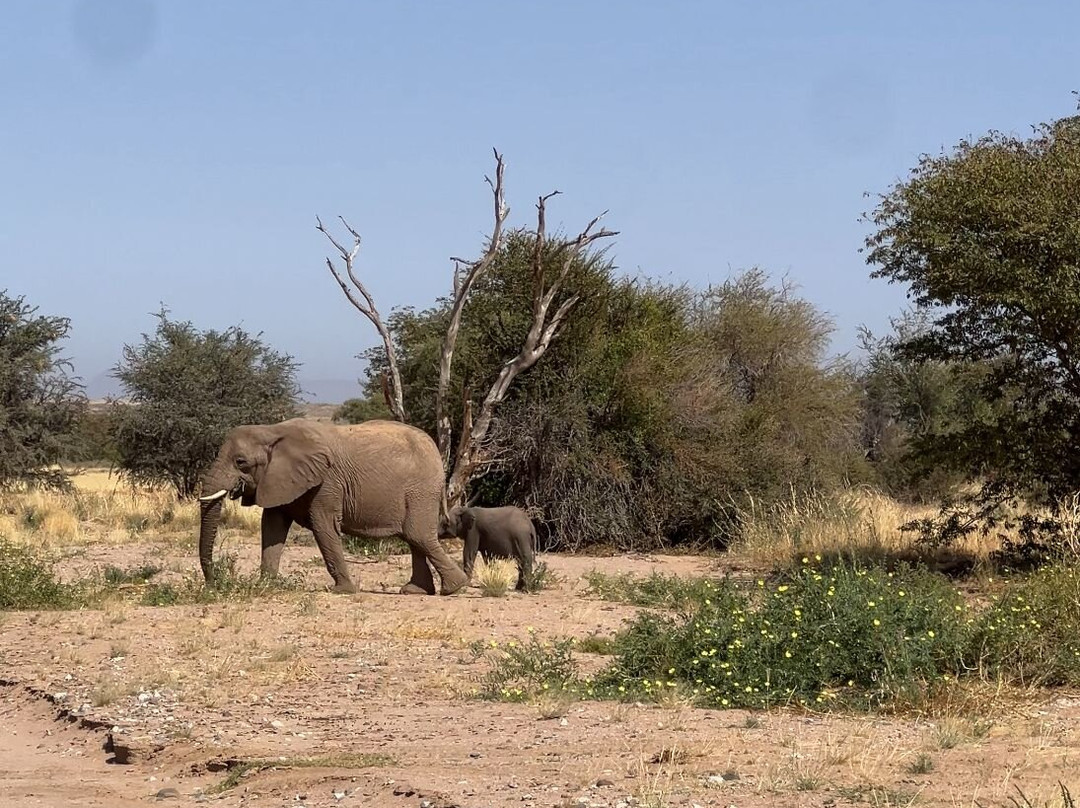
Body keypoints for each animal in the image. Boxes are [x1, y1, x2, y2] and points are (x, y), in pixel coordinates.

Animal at [197, 417, 469, 596]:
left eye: (240, 462)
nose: (213, 585)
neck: (272, 430)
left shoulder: (328, 482)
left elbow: (323, 525)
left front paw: (341, 591)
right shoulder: (276, 480)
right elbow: (272, 526)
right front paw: (266, 586)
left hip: (420, 491)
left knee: (417, 535)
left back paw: (454, 588)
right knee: (413, 538)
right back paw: (417, 591)